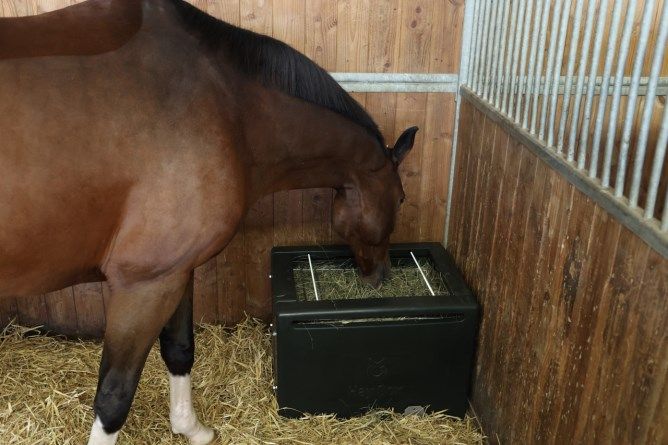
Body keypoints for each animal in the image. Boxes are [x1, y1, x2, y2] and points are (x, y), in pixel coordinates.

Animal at [0, 1, 418, 442]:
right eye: (401, 199)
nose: (382, 276)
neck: (230, 108)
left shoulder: (175, 273)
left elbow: (179, 349)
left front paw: (191, 429)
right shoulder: (143, 285)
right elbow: (114, 397)